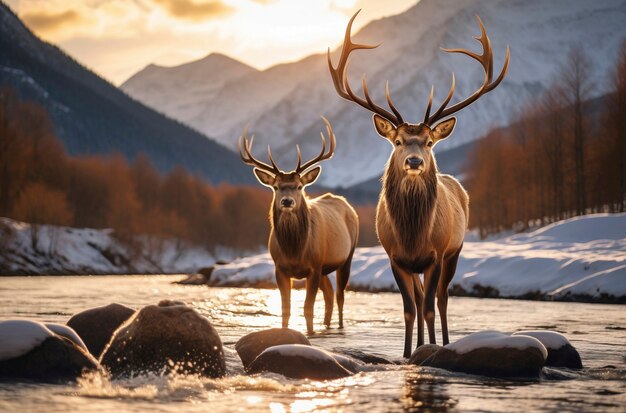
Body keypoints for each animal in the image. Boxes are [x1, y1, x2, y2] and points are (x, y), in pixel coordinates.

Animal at [238, 117, 358, 334]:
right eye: (276, 187)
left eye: (300, 186)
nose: (287, 201)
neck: (295, 251)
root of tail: (347, 205)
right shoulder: (280, 268)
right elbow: (285, 309)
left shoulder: (314, 266)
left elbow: (307, 308)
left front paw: (309, 333)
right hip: (325, 267)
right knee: (329, 294)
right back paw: (326, 325)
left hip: (346, 256)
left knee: (340, 296)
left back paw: (339, 326)